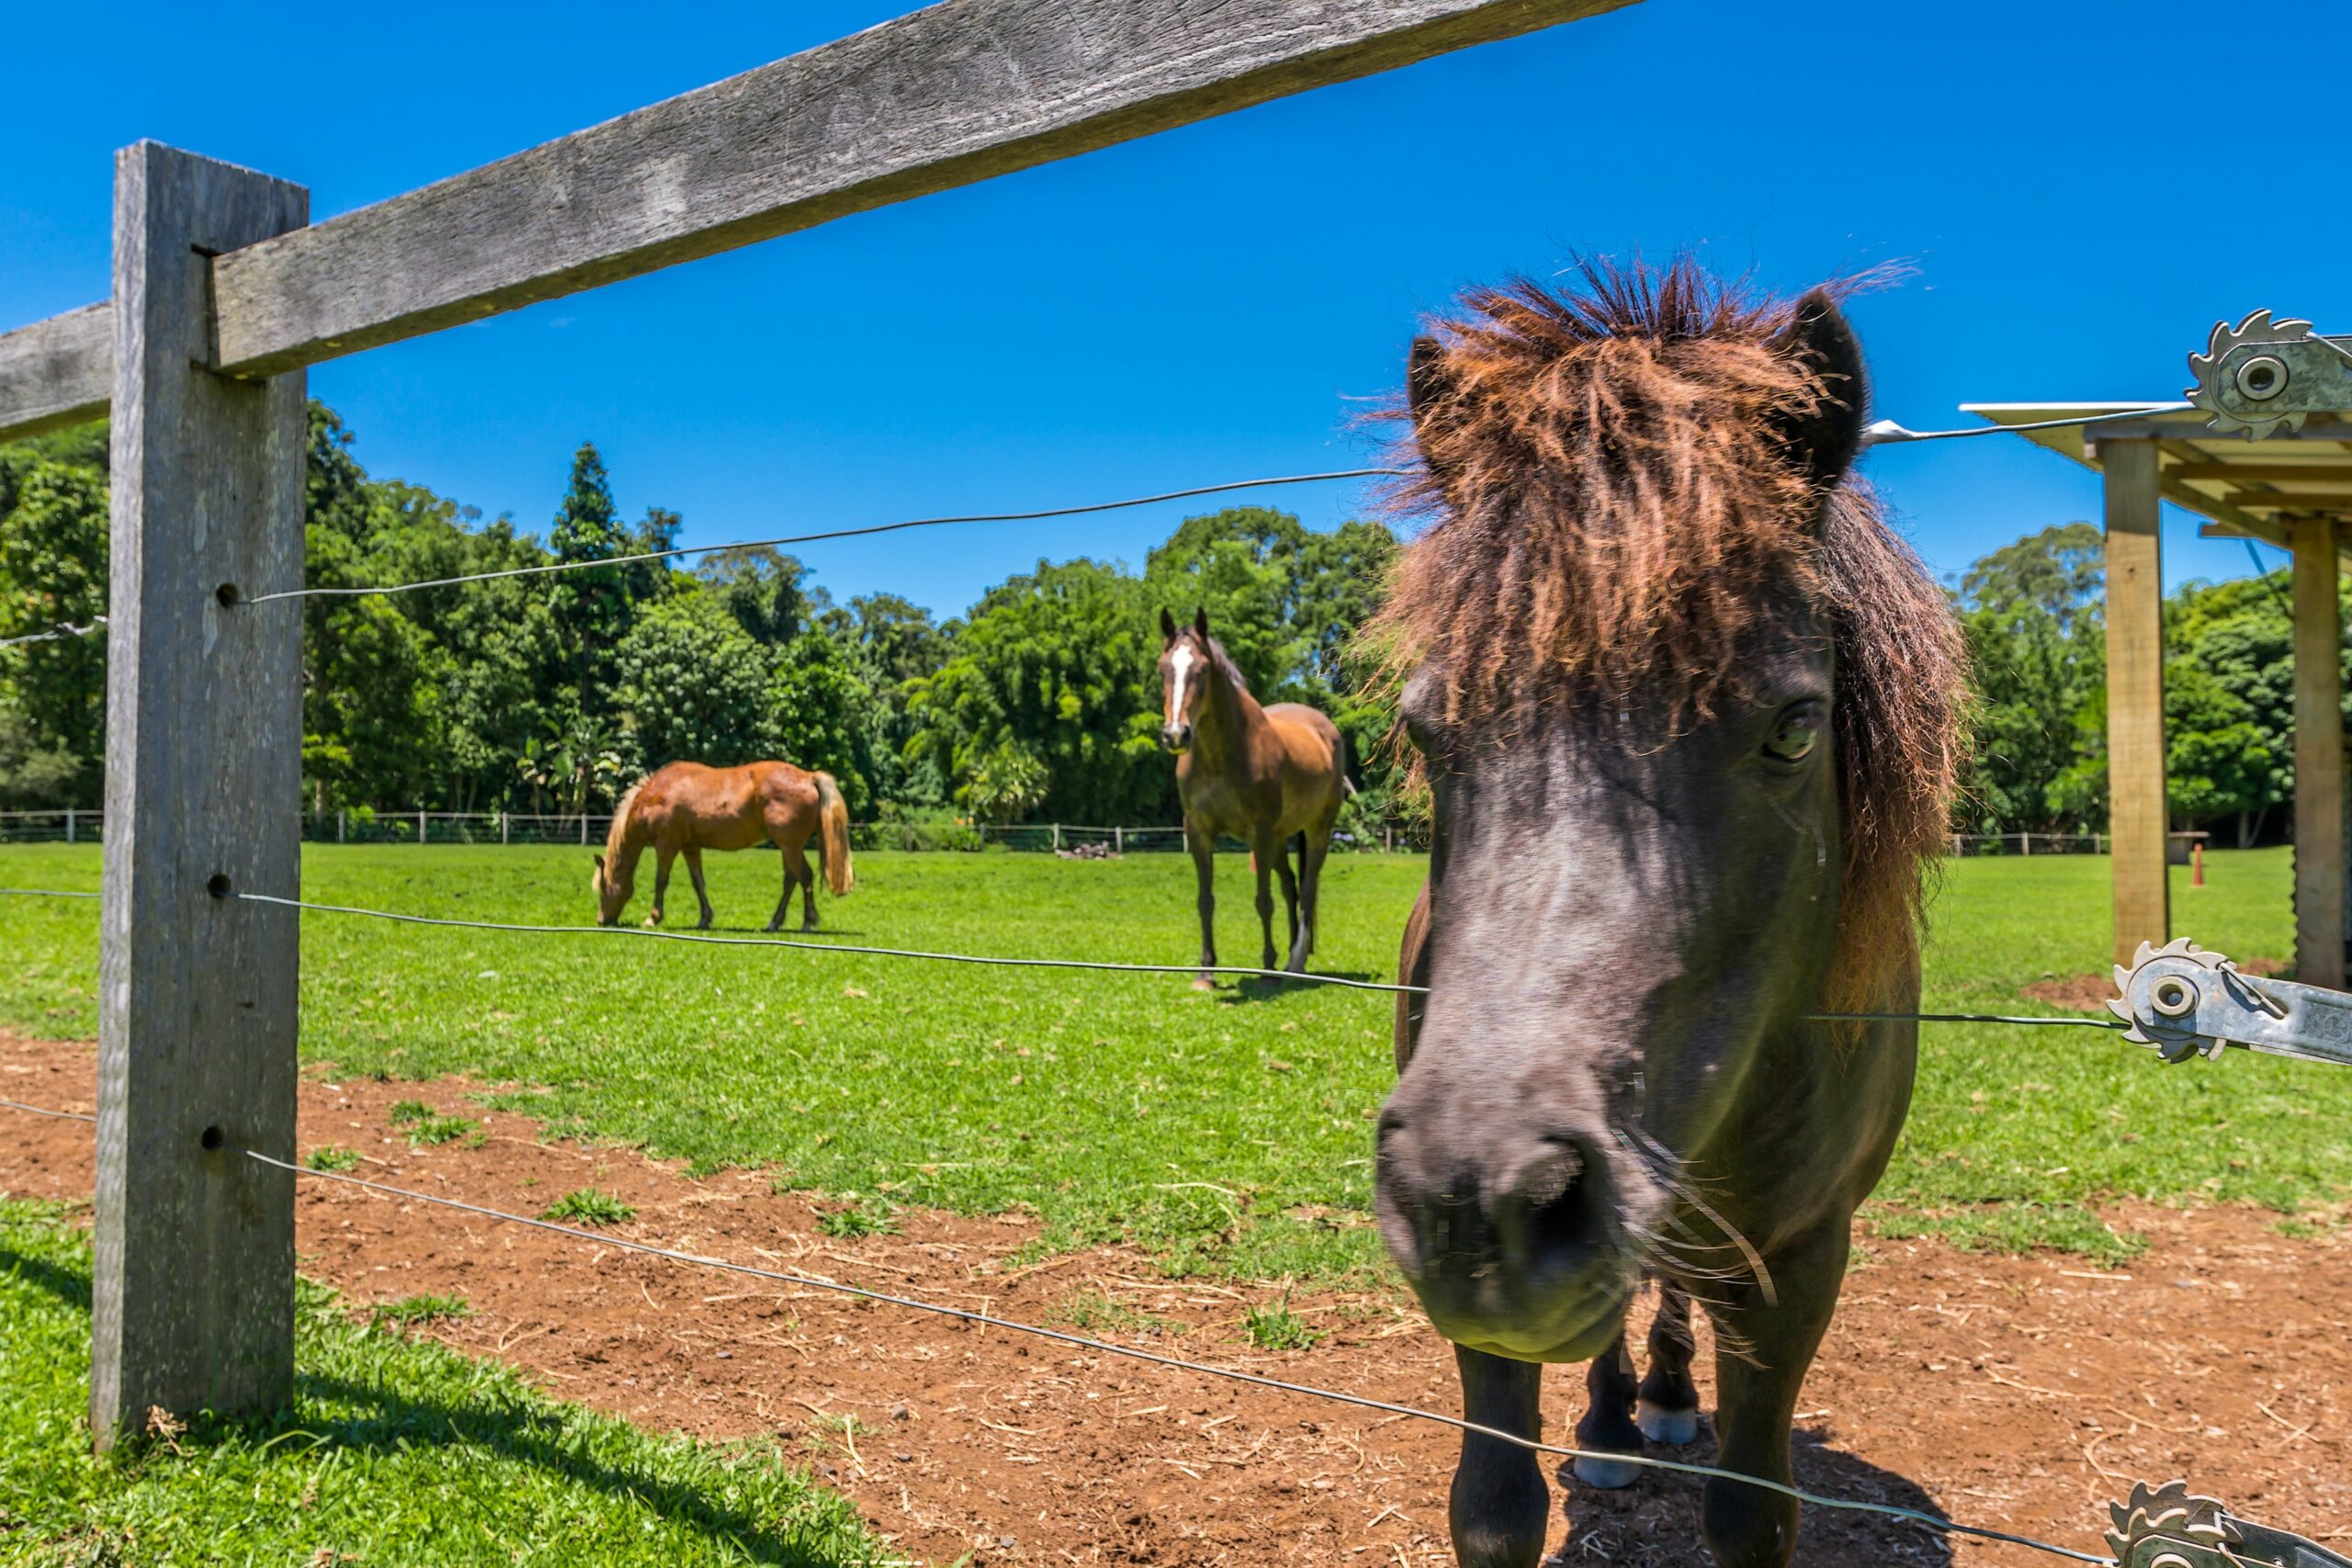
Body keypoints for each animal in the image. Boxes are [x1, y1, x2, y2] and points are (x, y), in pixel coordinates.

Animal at [597, 761, 855, 931]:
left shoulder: (666, 846)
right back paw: (776, 922)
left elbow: (661, 881)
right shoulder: (691, 848)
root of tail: (808, 777)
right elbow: (698, 883)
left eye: (602, 889)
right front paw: (705, 918)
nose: (602, 921)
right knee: (792, 879)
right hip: (789, 847)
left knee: (804, 876)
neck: (658, 793)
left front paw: (653, 918)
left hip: (790, 845)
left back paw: (805, 921)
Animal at [1152, 611, 1345, 987]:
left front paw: (1267, 969)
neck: (1221, 755)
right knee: (1291, 886)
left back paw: (1294, 962)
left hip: (1316, 830)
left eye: (1202, 670)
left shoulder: (1260, 833)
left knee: (1307, 889)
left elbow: (1263, 901)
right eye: (1163, 669)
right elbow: (1205, 900)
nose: (1176, 735)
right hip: (1282, 838)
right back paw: (1292, 954)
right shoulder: (1199, 833)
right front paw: (1206, 973)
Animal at [1363, 261, 1966, 1568]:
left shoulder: (1797, 1261)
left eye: (1794, 726)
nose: (1483, 1199)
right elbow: (1493, 1509)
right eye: (1426, 731)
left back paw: (1668, 1402)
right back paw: (1608, 1420)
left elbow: (1752, 1514)